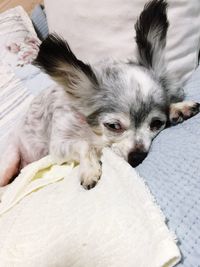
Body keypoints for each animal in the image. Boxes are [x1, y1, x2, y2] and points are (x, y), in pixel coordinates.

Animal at [0, 0, 200, 191]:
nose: (137, 156)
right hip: (10, 160)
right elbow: (84, 144)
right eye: (113, 126)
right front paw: (90, 170)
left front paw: (178, 108)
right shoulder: (58, 145)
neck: (92, 130)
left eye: (157, 124)